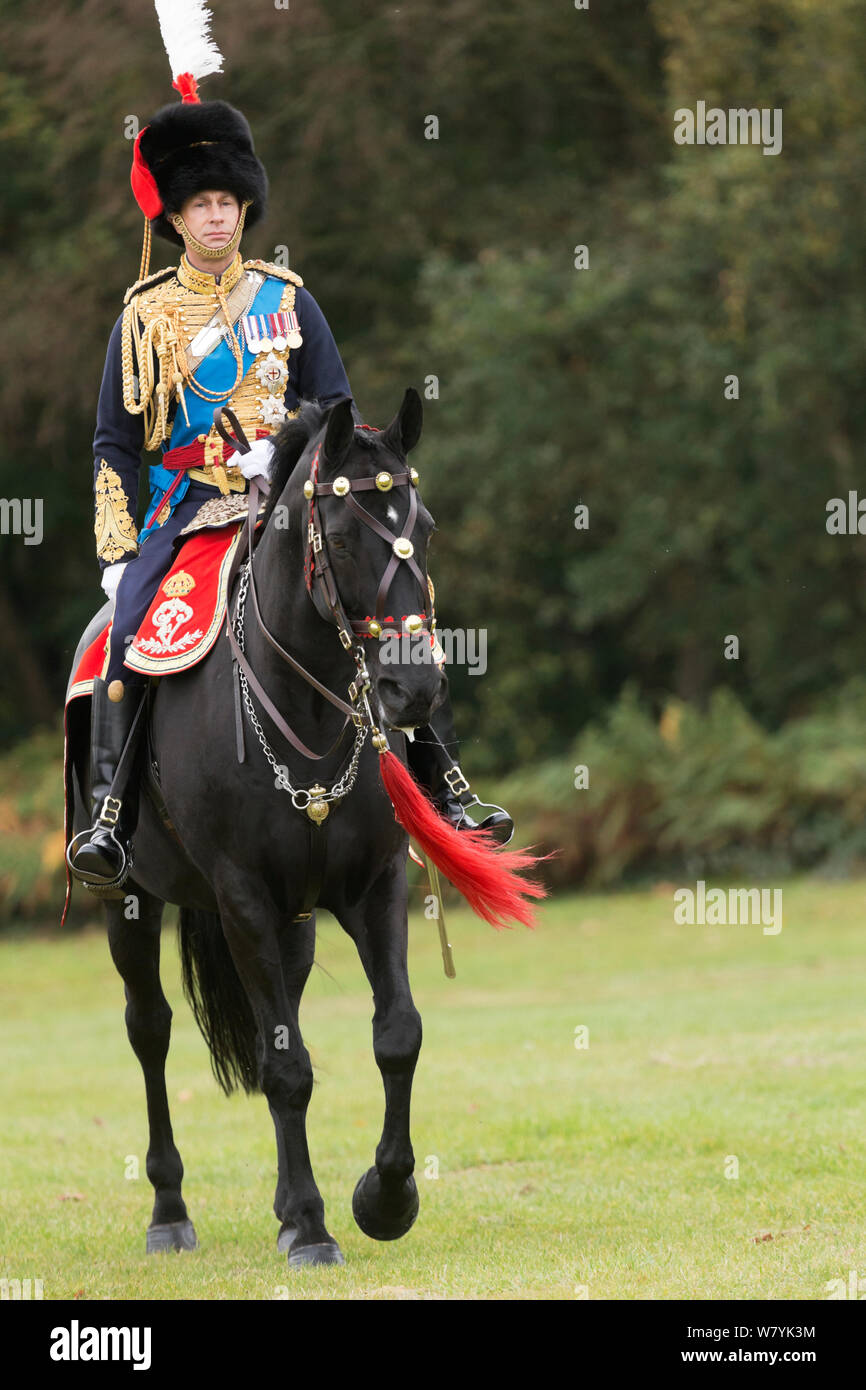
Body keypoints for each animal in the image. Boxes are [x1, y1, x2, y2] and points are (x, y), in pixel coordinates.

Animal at [67, 386, 539, 1267]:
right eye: (345, 536)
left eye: (425, 529)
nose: (414, 689)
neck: (306, 705)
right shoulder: (243, 896)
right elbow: (286, 1067)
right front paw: (318, 1228)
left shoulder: (372, 887)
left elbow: (396, 1034)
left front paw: (383, 1199)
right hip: (129, 901)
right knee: (152, 1031)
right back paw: (170, 1210)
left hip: (294, 922)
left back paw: (285, 1205)